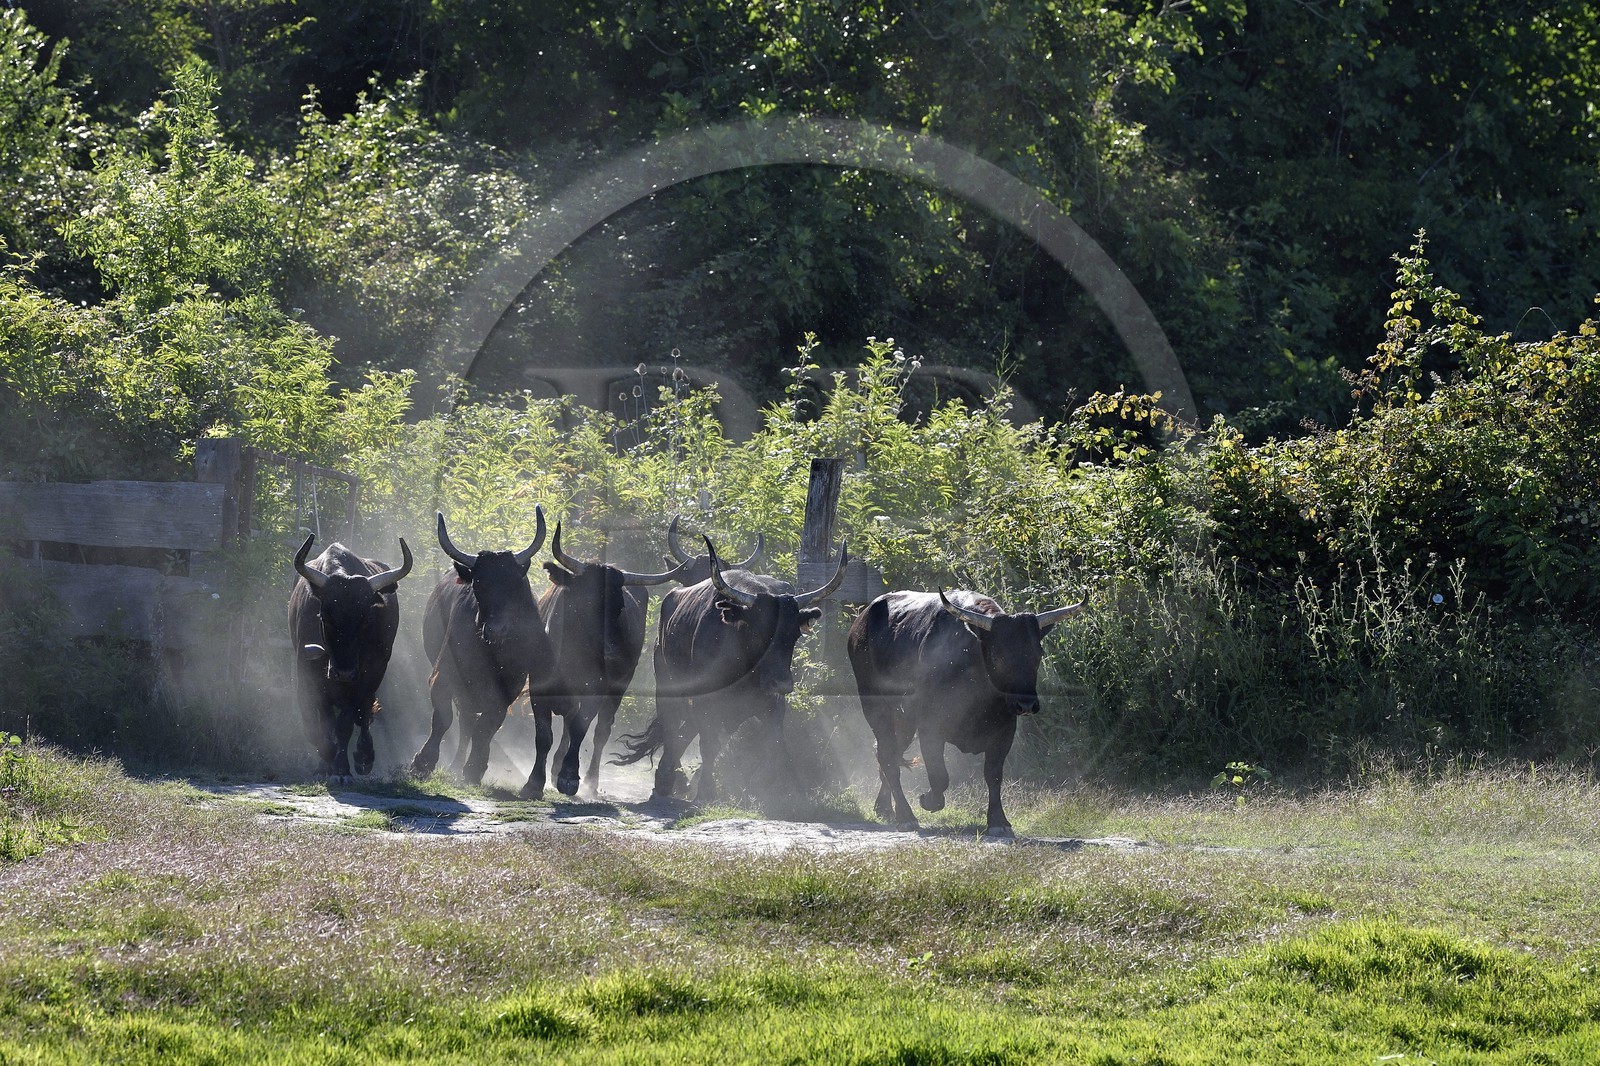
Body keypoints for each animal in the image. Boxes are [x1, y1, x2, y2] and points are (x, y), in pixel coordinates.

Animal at [287, 534, 414, 784]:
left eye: (366, 619)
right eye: (324, 617)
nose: (343, 672)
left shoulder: (364, 676)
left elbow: (345, 723)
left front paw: (342, 768)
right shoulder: (307, 673)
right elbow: (317, 725)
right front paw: (324, 761)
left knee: (363, 712)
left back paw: (364, 755)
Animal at [409, 509, 550, 786]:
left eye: (514, 585)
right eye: (478, 584)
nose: (497, 630)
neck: (490, 650)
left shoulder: (509, 687)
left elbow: (488, 725)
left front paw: (475, 767)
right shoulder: (444, 674)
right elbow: (443, 718)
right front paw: (423, 762)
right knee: (465, 720)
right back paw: (454, 764)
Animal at [529, 523, 692, 800]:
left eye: (619, 607)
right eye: (587, 600)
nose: (615, 651)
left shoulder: (595, 690)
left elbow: (580, 729)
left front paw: (569, 777)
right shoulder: (538, 689)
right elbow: (544, 734)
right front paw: (534, 782)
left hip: (618, 688)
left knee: (600, 732)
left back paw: (590, 781)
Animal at [616, 536, 848, 805]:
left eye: (794, 634)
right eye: (759, 632)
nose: (781, 683)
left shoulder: (770, 704)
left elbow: (774, 743)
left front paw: (787, 791)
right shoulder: (707, 701)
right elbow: (708, 744)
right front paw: (706, 791)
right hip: (667, 686)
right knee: (672, 727)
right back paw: (666, 781)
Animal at [846, 588, 1082, 837]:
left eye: (1038, 653)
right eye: (999, 655)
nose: (1026, 704)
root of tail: (863, 619)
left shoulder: (1005, 731)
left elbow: (993, 775)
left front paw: (998, 821)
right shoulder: (930, 728)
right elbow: (940, 776)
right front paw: (928, 801)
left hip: (903, 721)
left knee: (886, 753)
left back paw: (884, 808)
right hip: (876, 709)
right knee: (888, 756)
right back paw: (905, 816)